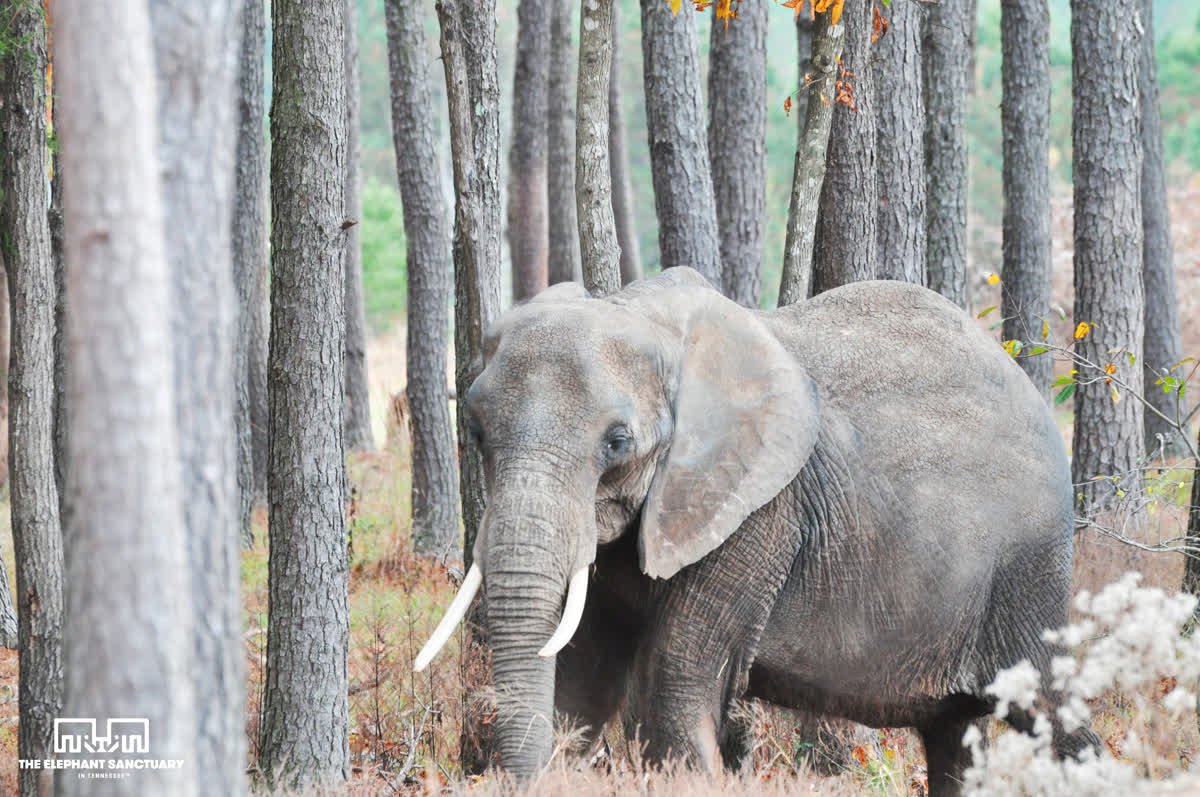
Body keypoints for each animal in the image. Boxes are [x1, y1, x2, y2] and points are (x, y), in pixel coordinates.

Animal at [414, 267, 1096, 795]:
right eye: (476, 432)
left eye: (617, 442)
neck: (642, 314)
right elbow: (582, 678)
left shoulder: (758, 515)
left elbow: (672, 686)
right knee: (953, 735)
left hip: (1027, 567)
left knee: (1052, 712)